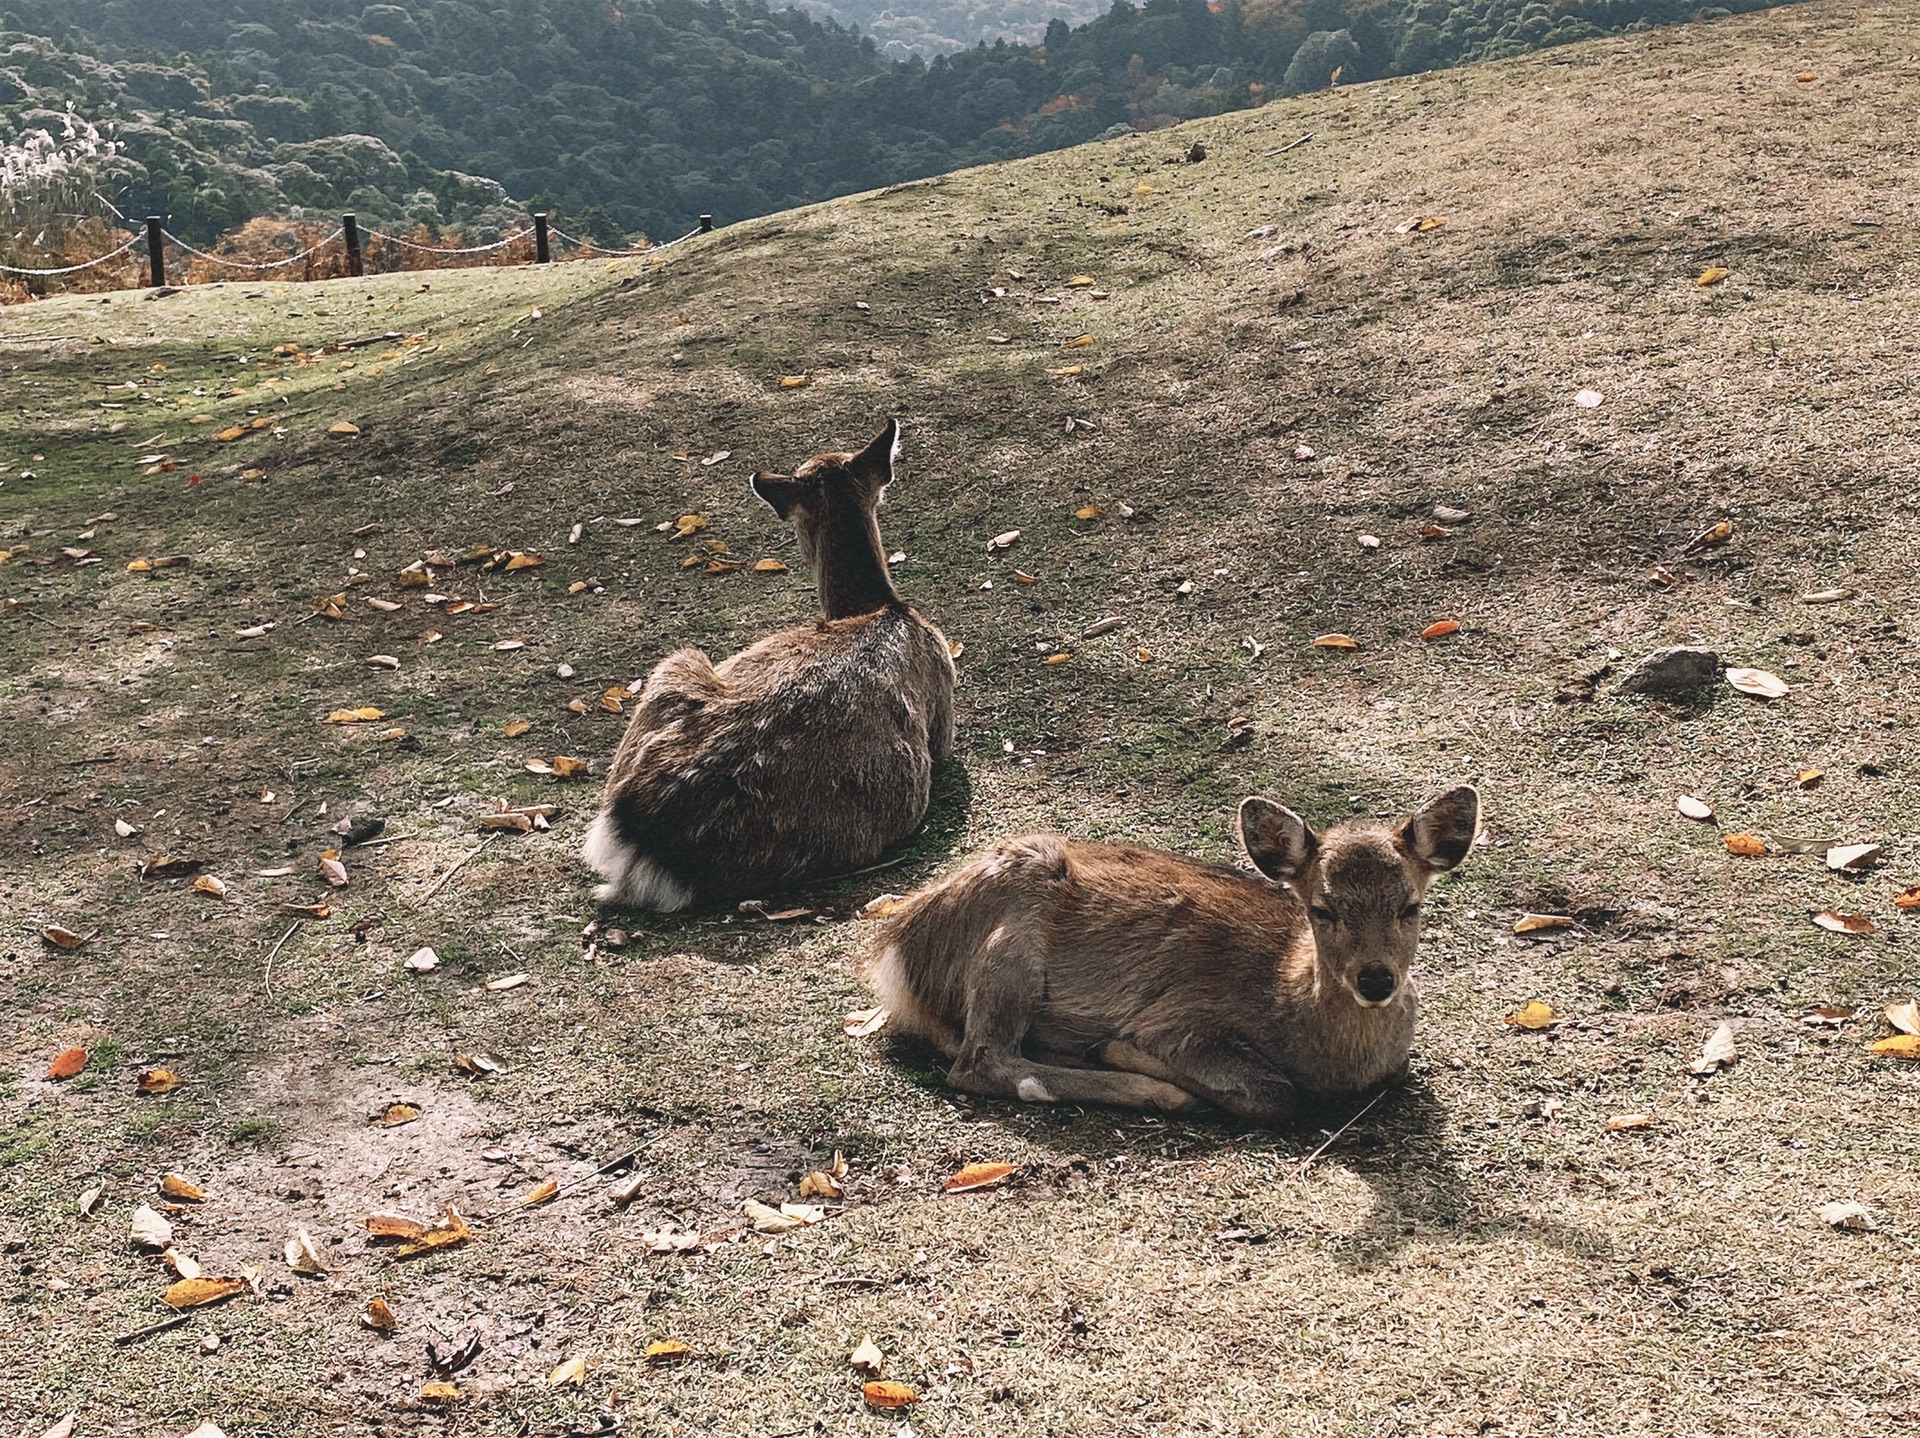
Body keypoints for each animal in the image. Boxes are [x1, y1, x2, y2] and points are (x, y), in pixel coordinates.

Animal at [864, 787, 1474, 1121]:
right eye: (1322, 909)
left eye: (1411, 906)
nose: (1376, 980)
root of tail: (893, 951)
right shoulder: (1181, 1019)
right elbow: (1274, 1093)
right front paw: (1128, 1054)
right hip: (1010, 945)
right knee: (981, 1061)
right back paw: (1164, 1091)